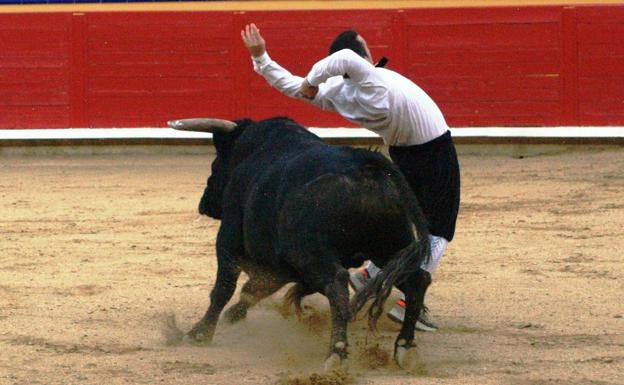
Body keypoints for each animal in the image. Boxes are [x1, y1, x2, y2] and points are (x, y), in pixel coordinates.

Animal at [171, 115, 434, 368]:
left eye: (216, 162)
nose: (204, 202)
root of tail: (366, 166)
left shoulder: (228, 240)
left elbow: (224, 289)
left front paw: (199, 333)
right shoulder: (279, 265)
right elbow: (252, 291)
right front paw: (233, 316)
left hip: (313, 254)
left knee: (337, 283)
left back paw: (337, 352)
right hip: (391, 246)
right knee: (417, 280)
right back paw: (405, 347)